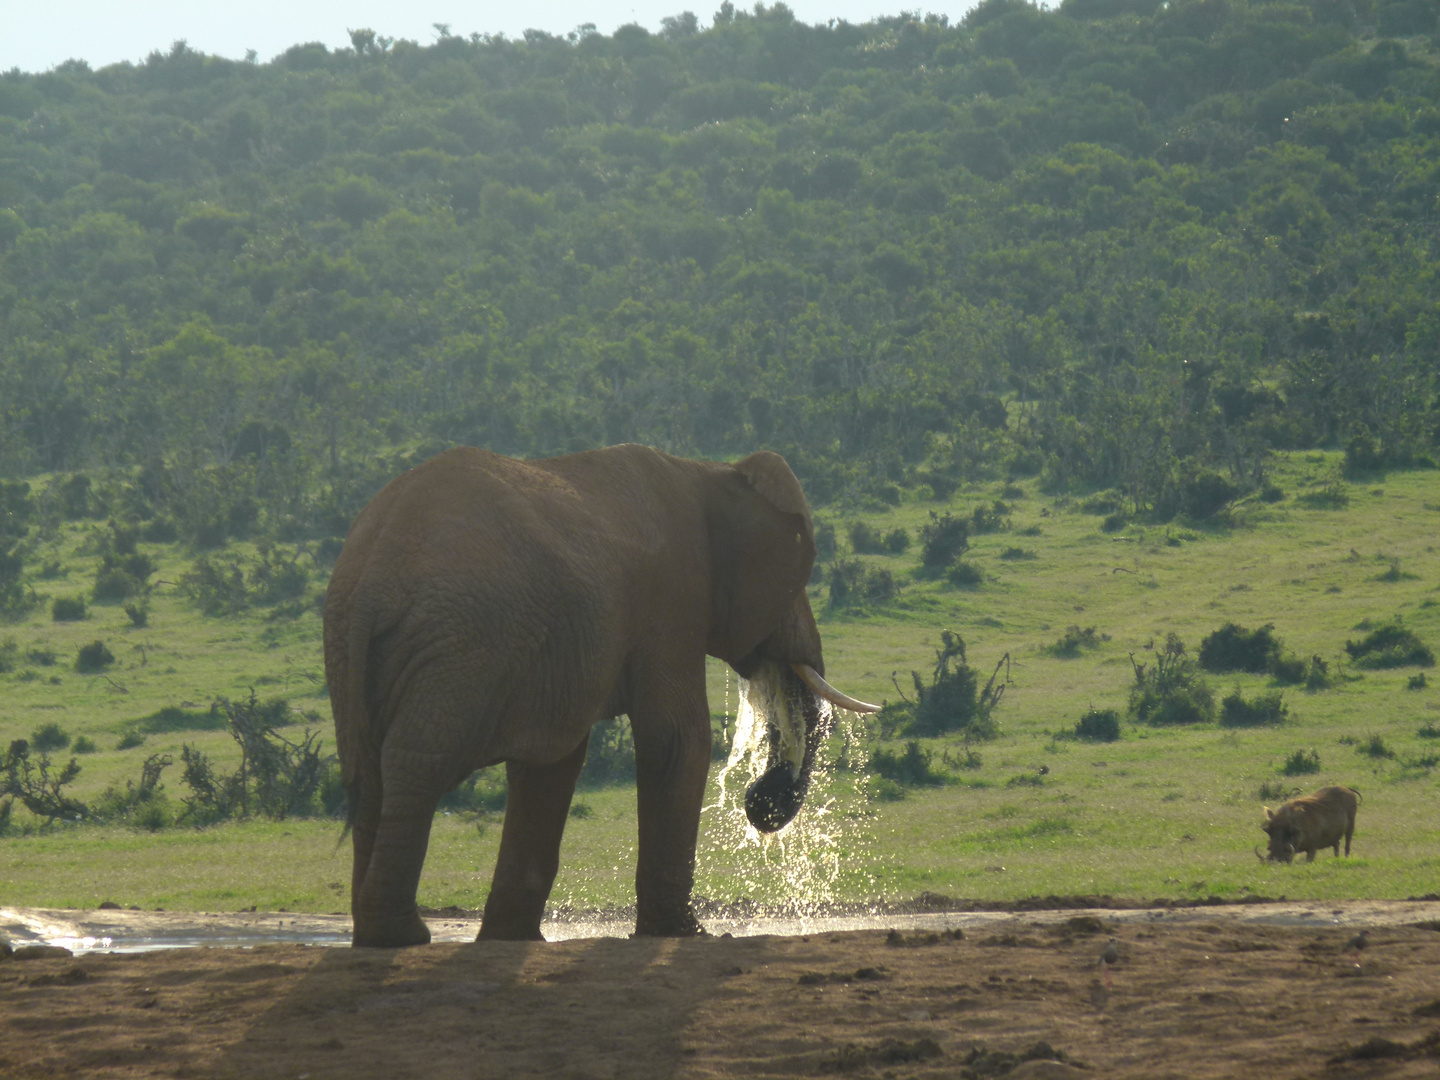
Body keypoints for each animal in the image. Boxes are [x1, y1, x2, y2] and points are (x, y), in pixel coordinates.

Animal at [325, 440, 875, 944]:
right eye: (796, 585)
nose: (759, 802)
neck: (708, 471)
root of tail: (372, 579)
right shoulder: (673, 599)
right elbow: (677, 740)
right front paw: (688, 935)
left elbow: (552, 763)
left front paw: (515, 940)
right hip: (457, 643)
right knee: (417, 766)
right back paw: (402, 936)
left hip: (356, 653)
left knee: (370, 775)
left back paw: (377, 936)